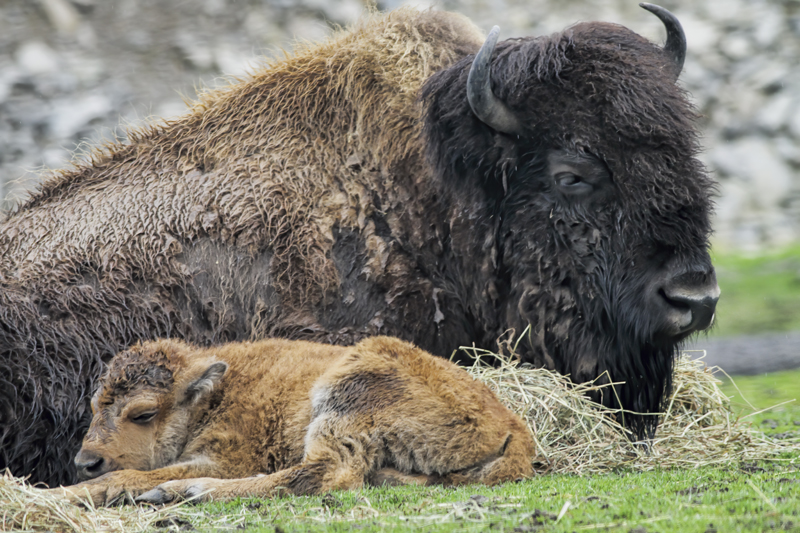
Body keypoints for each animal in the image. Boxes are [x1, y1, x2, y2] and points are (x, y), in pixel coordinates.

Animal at [53, 334, 536, 504]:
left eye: (143, 413)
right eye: (94, 406)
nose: (87, 461)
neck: (213, 393)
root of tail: (513, 426)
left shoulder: (227, 459)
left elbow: (129, 475)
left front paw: (64, 494)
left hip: (344, 393)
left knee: (326, 473)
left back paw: (184, 492)